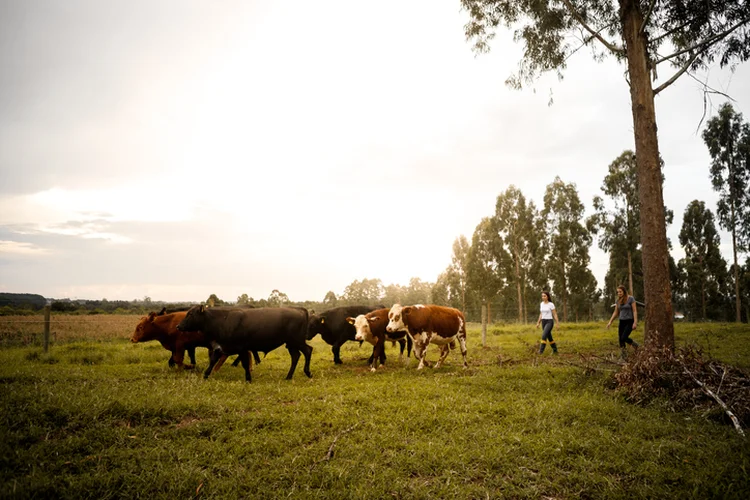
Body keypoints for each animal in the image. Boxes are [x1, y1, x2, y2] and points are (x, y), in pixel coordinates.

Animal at [178, 304, 312, 382]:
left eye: (190, 314)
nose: (178, 326)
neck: (223, 321)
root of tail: (298, 309)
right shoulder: (221, 346)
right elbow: (213, 360)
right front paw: (205, 375)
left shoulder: (241, 347)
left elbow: (245, 364)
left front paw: (248, 379)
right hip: (291, 344)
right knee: (296, 356)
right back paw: (289, 377)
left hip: (297, 341)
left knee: (308, 350)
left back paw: (307, 372)